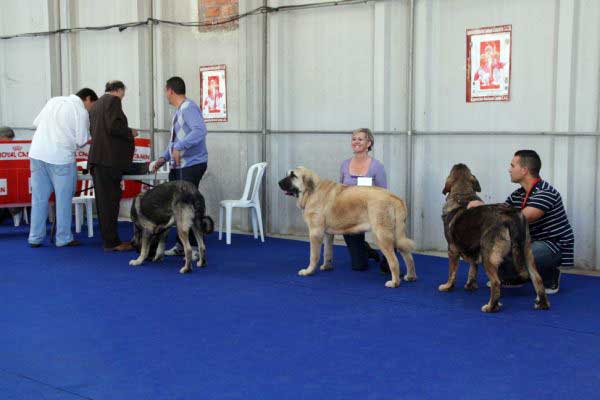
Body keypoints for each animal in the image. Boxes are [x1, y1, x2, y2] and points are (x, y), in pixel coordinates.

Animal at [278, 166, 414, 288]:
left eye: (293, 175)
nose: (278, 183)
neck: (311, 191)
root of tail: (395, 197)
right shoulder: (327, 234)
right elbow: (327, 252)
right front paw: (327, 267)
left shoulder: (315, 233)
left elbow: (314, 255)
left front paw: (308, 271)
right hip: (397, 235)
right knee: (408, 255)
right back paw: (410, 276)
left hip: (381, 236)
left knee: (394, 261)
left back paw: (394, 282)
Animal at [438, 163, 552, 312]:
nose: (460, 164)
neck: (462, 196)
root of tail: (510, 214)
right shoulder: (474, 251)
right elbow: (472, 269)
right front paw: (470, 285)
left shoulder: (452, 250)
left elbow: (452, 273)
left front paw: (447, 286)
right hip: (527, 252)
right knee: (537, 278)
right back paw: (542, 303)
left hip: (488, 256)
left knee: (496, 282)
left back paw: (492, 306)